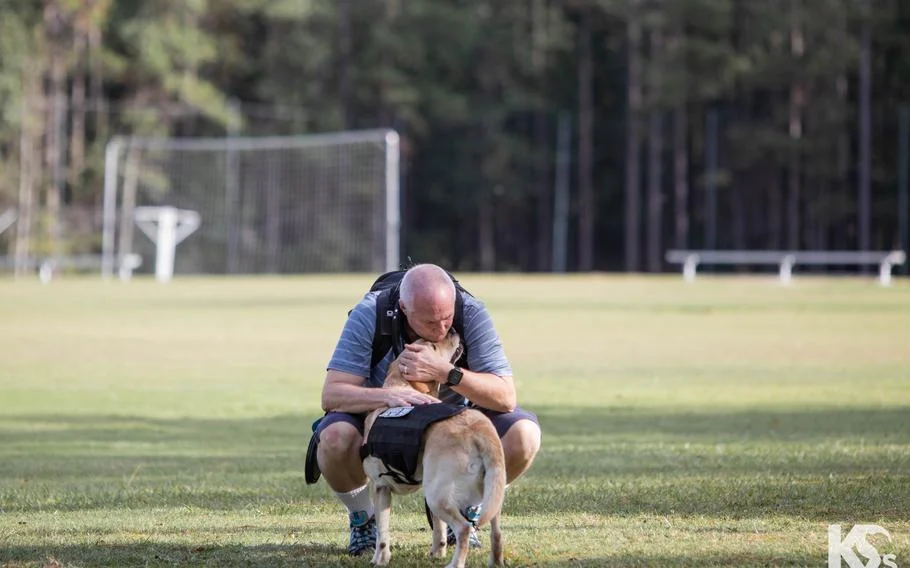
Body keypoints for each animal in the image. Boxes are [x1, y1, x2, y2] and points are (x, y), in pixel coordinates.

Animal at [362, 332, 506, 568]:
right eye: (432, 345)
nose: (453, 330)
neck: (402, 386)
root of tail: (478, 426)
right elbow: (438, 528)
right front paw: (437, 552)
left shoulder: (380, 487)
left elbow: (382, 533)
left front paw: (380, 559)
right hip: (489, 492)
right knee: (496, 531)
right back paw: (495, 561)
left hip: (436, 495)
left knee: (464, 528)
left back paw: (455, 564)